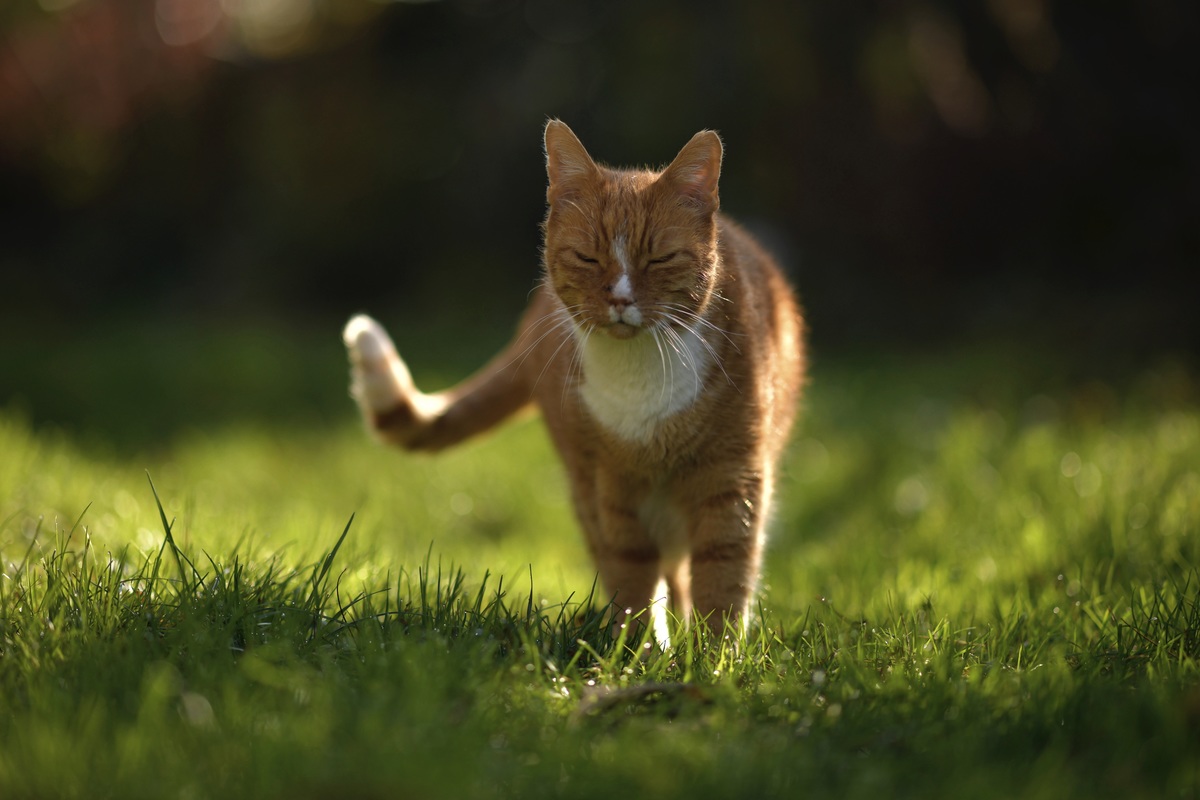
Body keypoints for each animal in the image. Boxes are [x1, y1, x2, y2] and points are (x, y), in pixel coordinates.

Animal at [343, 120, 801, 638]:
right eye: (588, 257)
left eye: (660, 259)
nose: (620, 299)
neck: (641, 380)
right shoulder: (611, 486)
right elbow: (633, 576)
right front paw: (642, 649)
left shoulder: (732, 476)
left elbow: (723, 574)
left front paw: (712, 654)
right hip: (584, 486)